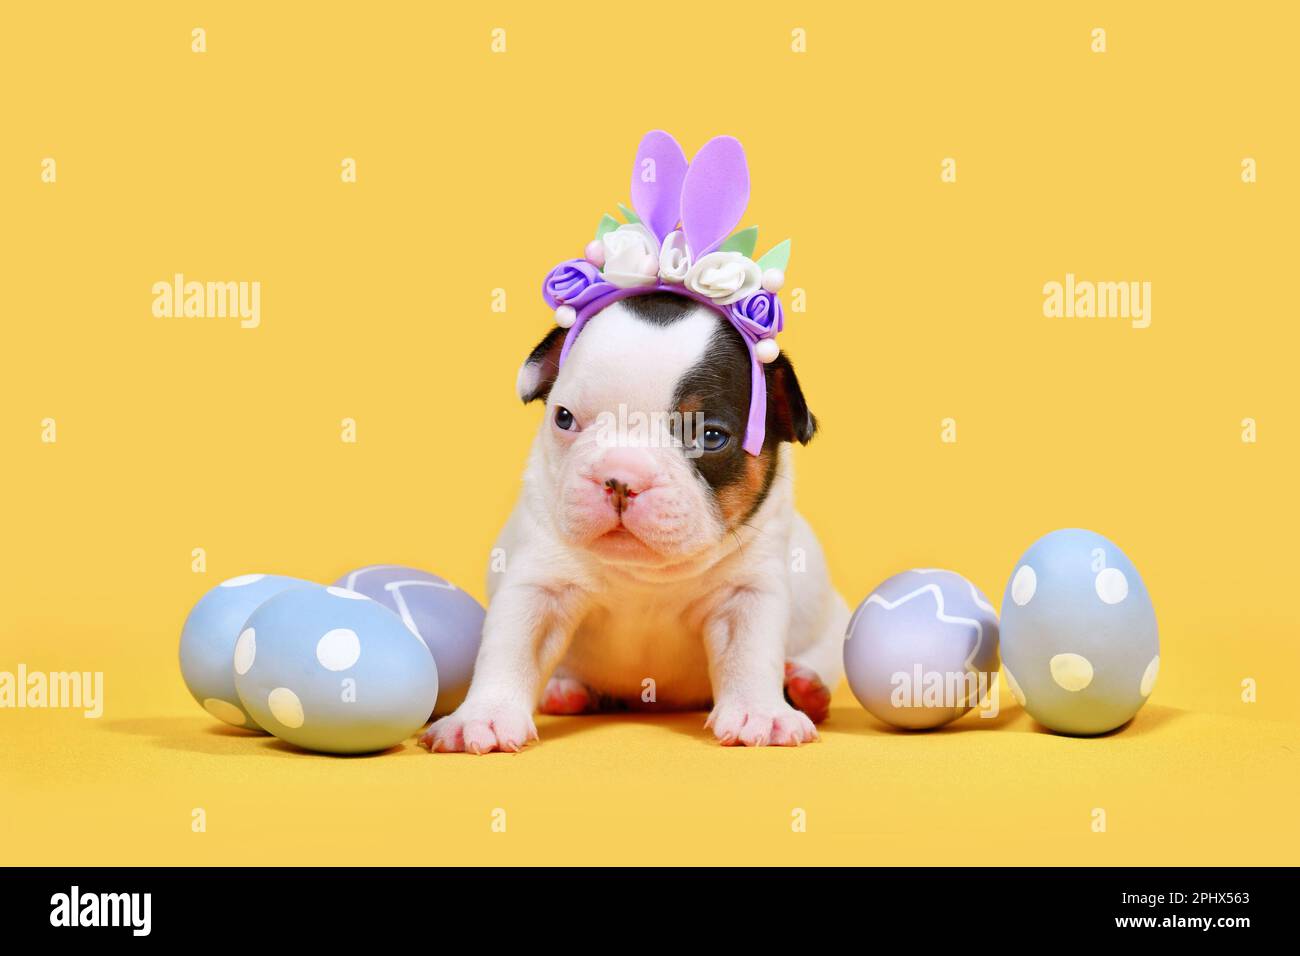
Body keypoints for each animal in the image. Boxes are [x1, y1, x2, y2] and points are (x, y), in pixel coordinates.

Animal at [416, 287, 842, 749]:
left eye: (711, 437)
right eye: (563, 417)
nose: (620, 478)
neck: (644, 575)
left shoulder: (745, 593)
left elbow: (749, 652)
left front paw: (761, 712)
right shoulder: (539, 587)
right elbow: (511, 646)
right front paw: (484, 716)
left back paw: (805, 688)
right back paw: (565, 690)